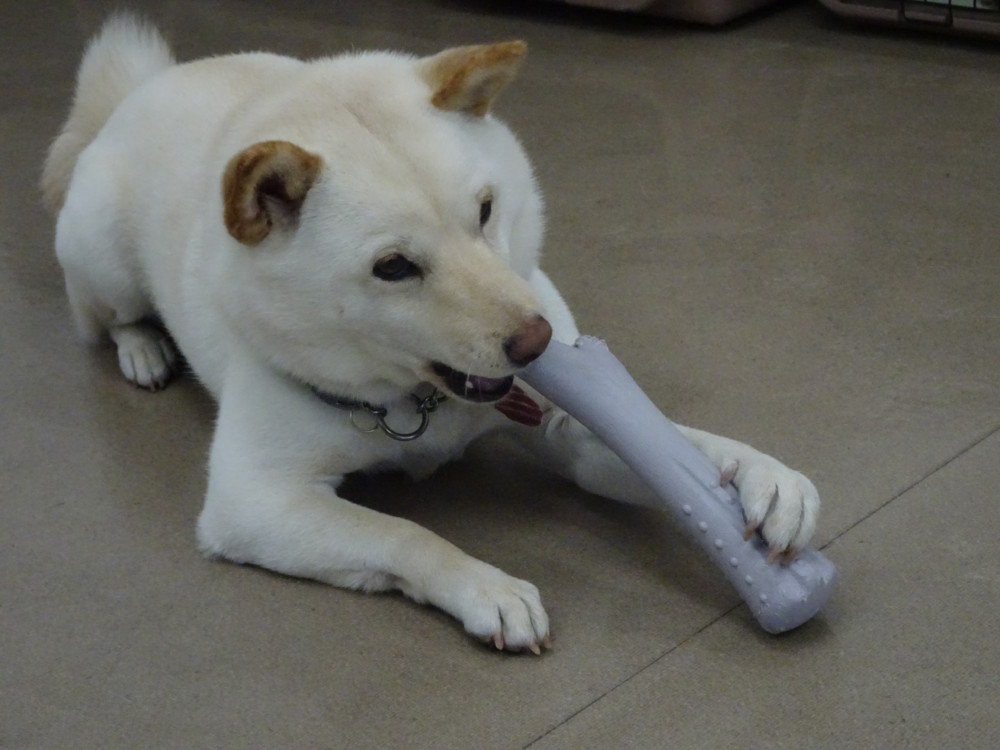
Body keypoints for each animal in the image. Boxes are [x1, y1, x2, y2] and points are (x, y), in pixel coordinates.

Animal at [42, 15, 819, 654]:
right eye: (394, 267)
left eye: (486, 210)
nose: (538, 342)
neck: (420, 403)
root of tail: (143, 88)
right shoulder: (252, 501)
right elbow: (403, 534)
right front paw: (485, 587)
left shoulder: (567, 433)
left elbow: (673, 438)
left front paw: (763, 478)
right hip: (101, 253)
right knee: (104, 314)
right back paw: (144, 349)